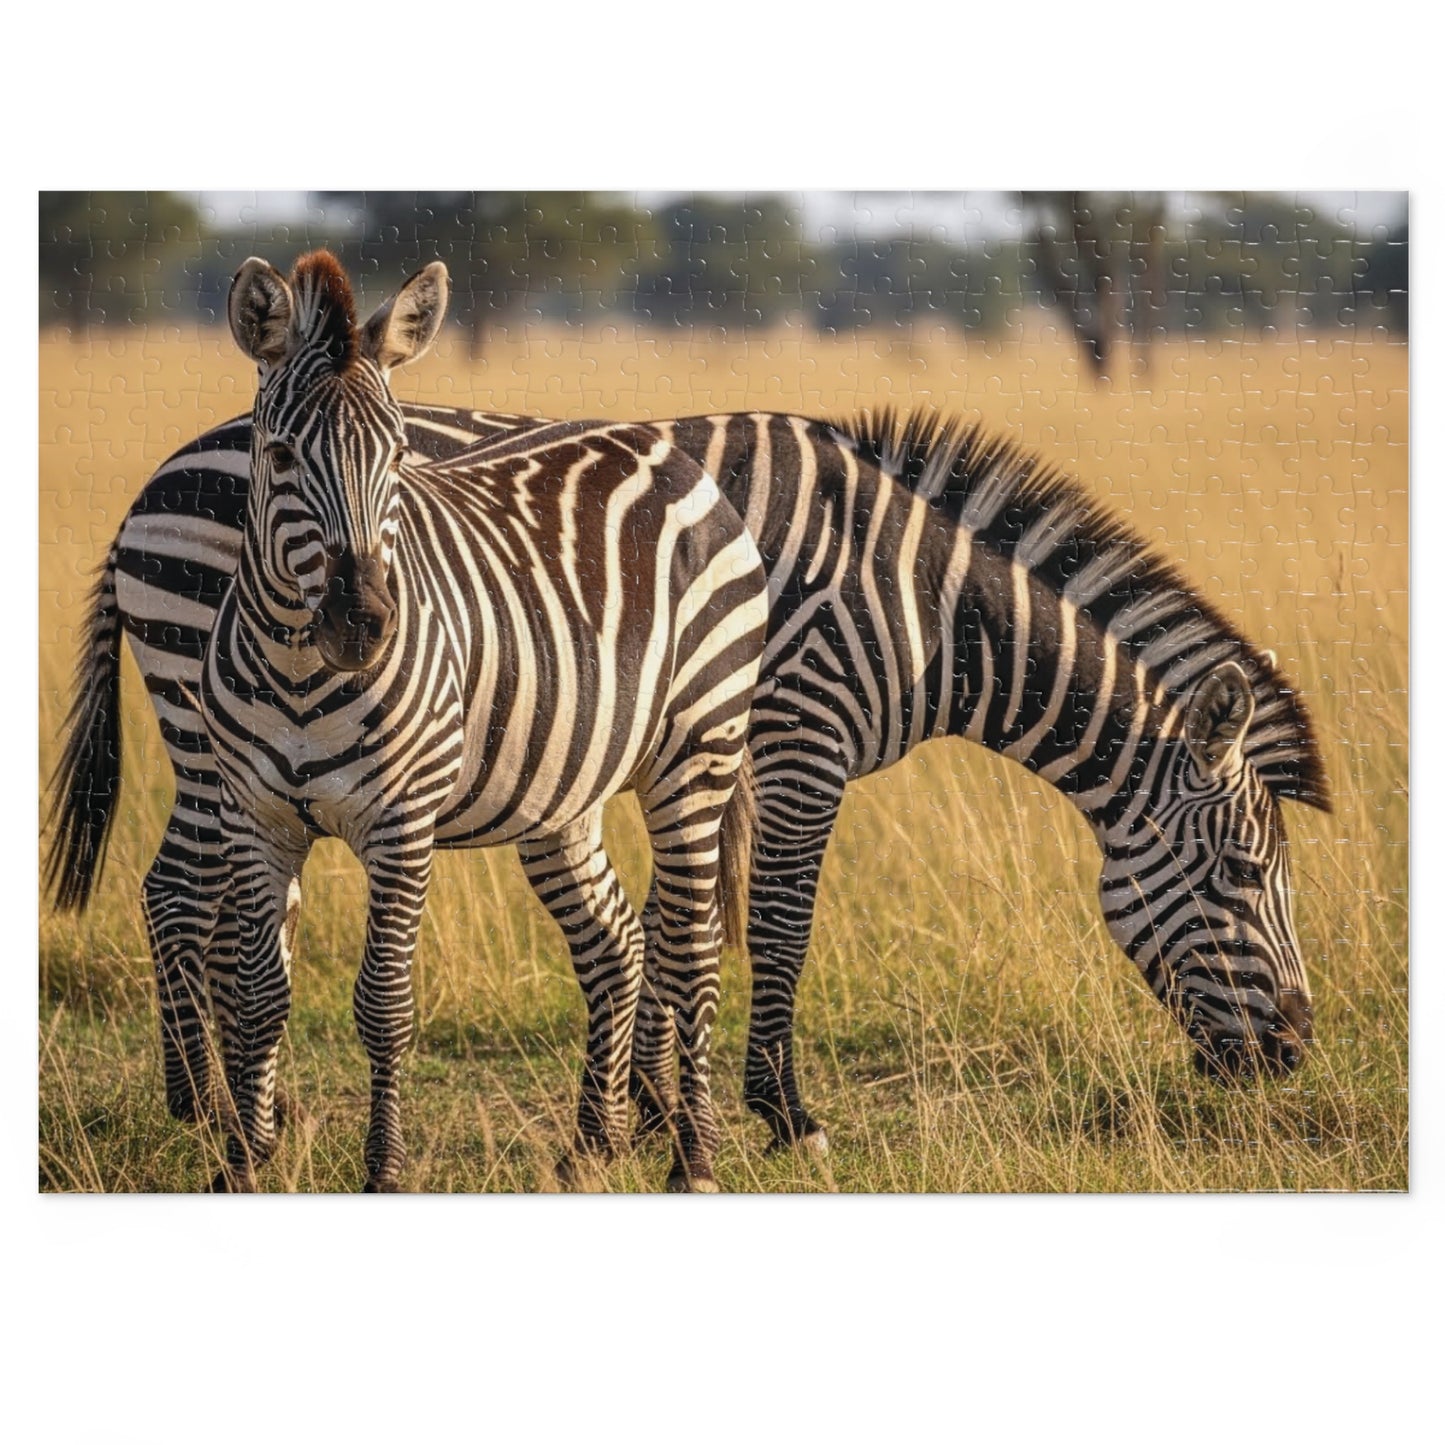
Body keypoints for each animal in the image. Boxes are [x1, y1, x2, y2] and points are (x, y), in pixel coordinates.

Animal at [48, 363, 1329, 1166]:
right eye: (1239, 874)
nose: (1292, 1051)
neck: (926, 607)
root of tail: (160, 473)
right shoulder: (801, 733)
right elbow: (775, 923)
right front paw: (781, 1113)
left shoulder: (723, 745)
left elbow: (689, 921)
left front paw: (659, 1109)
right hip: (210, 713)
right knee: (181, 894)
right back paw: (207, 1111)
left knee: (187, 893)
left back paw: (227, 1106)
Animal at [50, 251, 769, 1192]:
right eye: (279, 455)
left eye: (397, 456)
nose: (362, 622)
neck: (297, 675)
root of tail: (666, 453)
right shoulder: (259, 817)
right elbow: (260, 992)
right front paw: (243, 1159)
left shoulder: (400, 825)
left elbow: (383, 1003)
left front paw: (380, 1168)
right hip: (548, 784)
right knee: (615, 937)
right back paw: (591, 1142)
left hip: (696, 748)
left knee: (688, 942)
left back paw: (689, 1154)